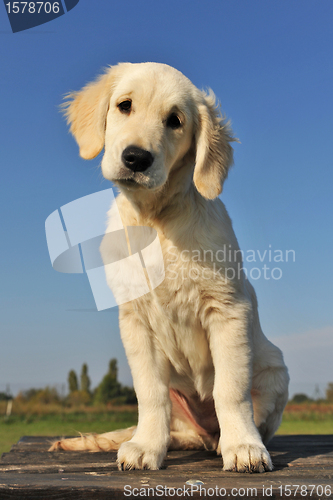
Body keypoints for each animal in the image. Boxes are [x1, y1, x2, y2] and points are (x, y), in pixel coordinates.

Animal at [49, 62, 288, 472]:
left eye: (175, 121)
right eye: (124, 105)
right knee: (178, 429)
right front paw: (146, 446)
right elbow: (150, 393)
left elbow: (230, 390)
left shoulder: (228, 310)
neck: (155, 220)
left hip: (276, 370)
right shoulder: (134, 321)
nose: (136, 158)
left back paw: (226, 441)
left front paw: (244, 447)